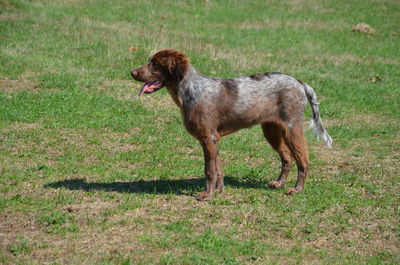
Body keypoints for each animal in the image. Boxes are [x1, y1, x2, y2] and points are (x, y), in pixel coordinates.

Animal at [130, 48, 332, 200]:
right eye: (149, 61)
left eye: (155, 63)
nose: (132, 73)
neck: (190, 91)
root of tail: (299, 82)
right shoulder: (212, 140)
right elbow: (218, 169)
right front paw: (219, 191)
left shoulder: (208, 138)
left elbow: (209, 170)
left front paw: (207, 195)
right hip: (271, 130)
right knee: (286, 157)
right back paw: (279, 183)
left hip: (292, 128)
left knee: (303, 160)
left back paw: (297, 189)